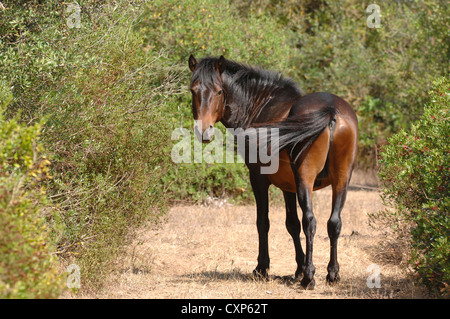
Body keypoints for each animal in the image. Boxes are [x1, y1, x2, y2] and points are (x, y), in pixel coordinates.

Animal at [188, 55, 356, 290]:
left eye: (219, 91)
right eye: (193, 90)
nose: (204, 132)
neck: (260, 104)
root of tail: (330, 110)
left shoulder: (258, 179)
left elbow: (264, 222)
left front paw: (262, 268)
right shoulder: (288, 187)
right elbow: (292, 224)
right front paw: (297, 268)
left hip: (306, 179)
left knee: (310, 221)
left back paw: (309, 277)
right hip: (341, 181)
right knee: (334, 223)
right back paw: (332, 273)